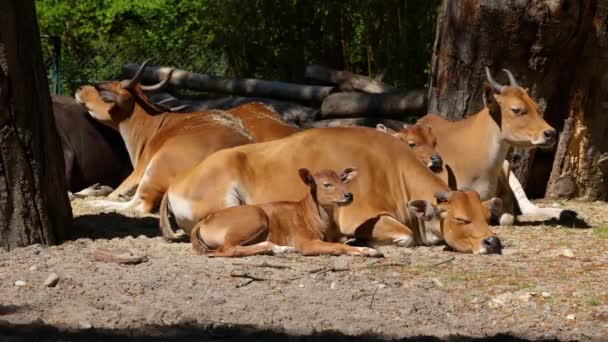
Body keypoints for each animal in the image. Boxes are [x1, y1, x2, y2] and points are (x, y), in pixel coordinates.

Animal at [190, 167, 382, 258]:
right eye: (326, 184)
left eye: (343, 180)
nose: (348, 195)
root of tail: (203, 222)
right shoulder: (305, 242)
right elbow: (338, 247)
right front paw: (370, 251)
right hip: (255, 217)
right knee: (227, 249)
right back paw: (277, 248)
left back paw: (283, 248)